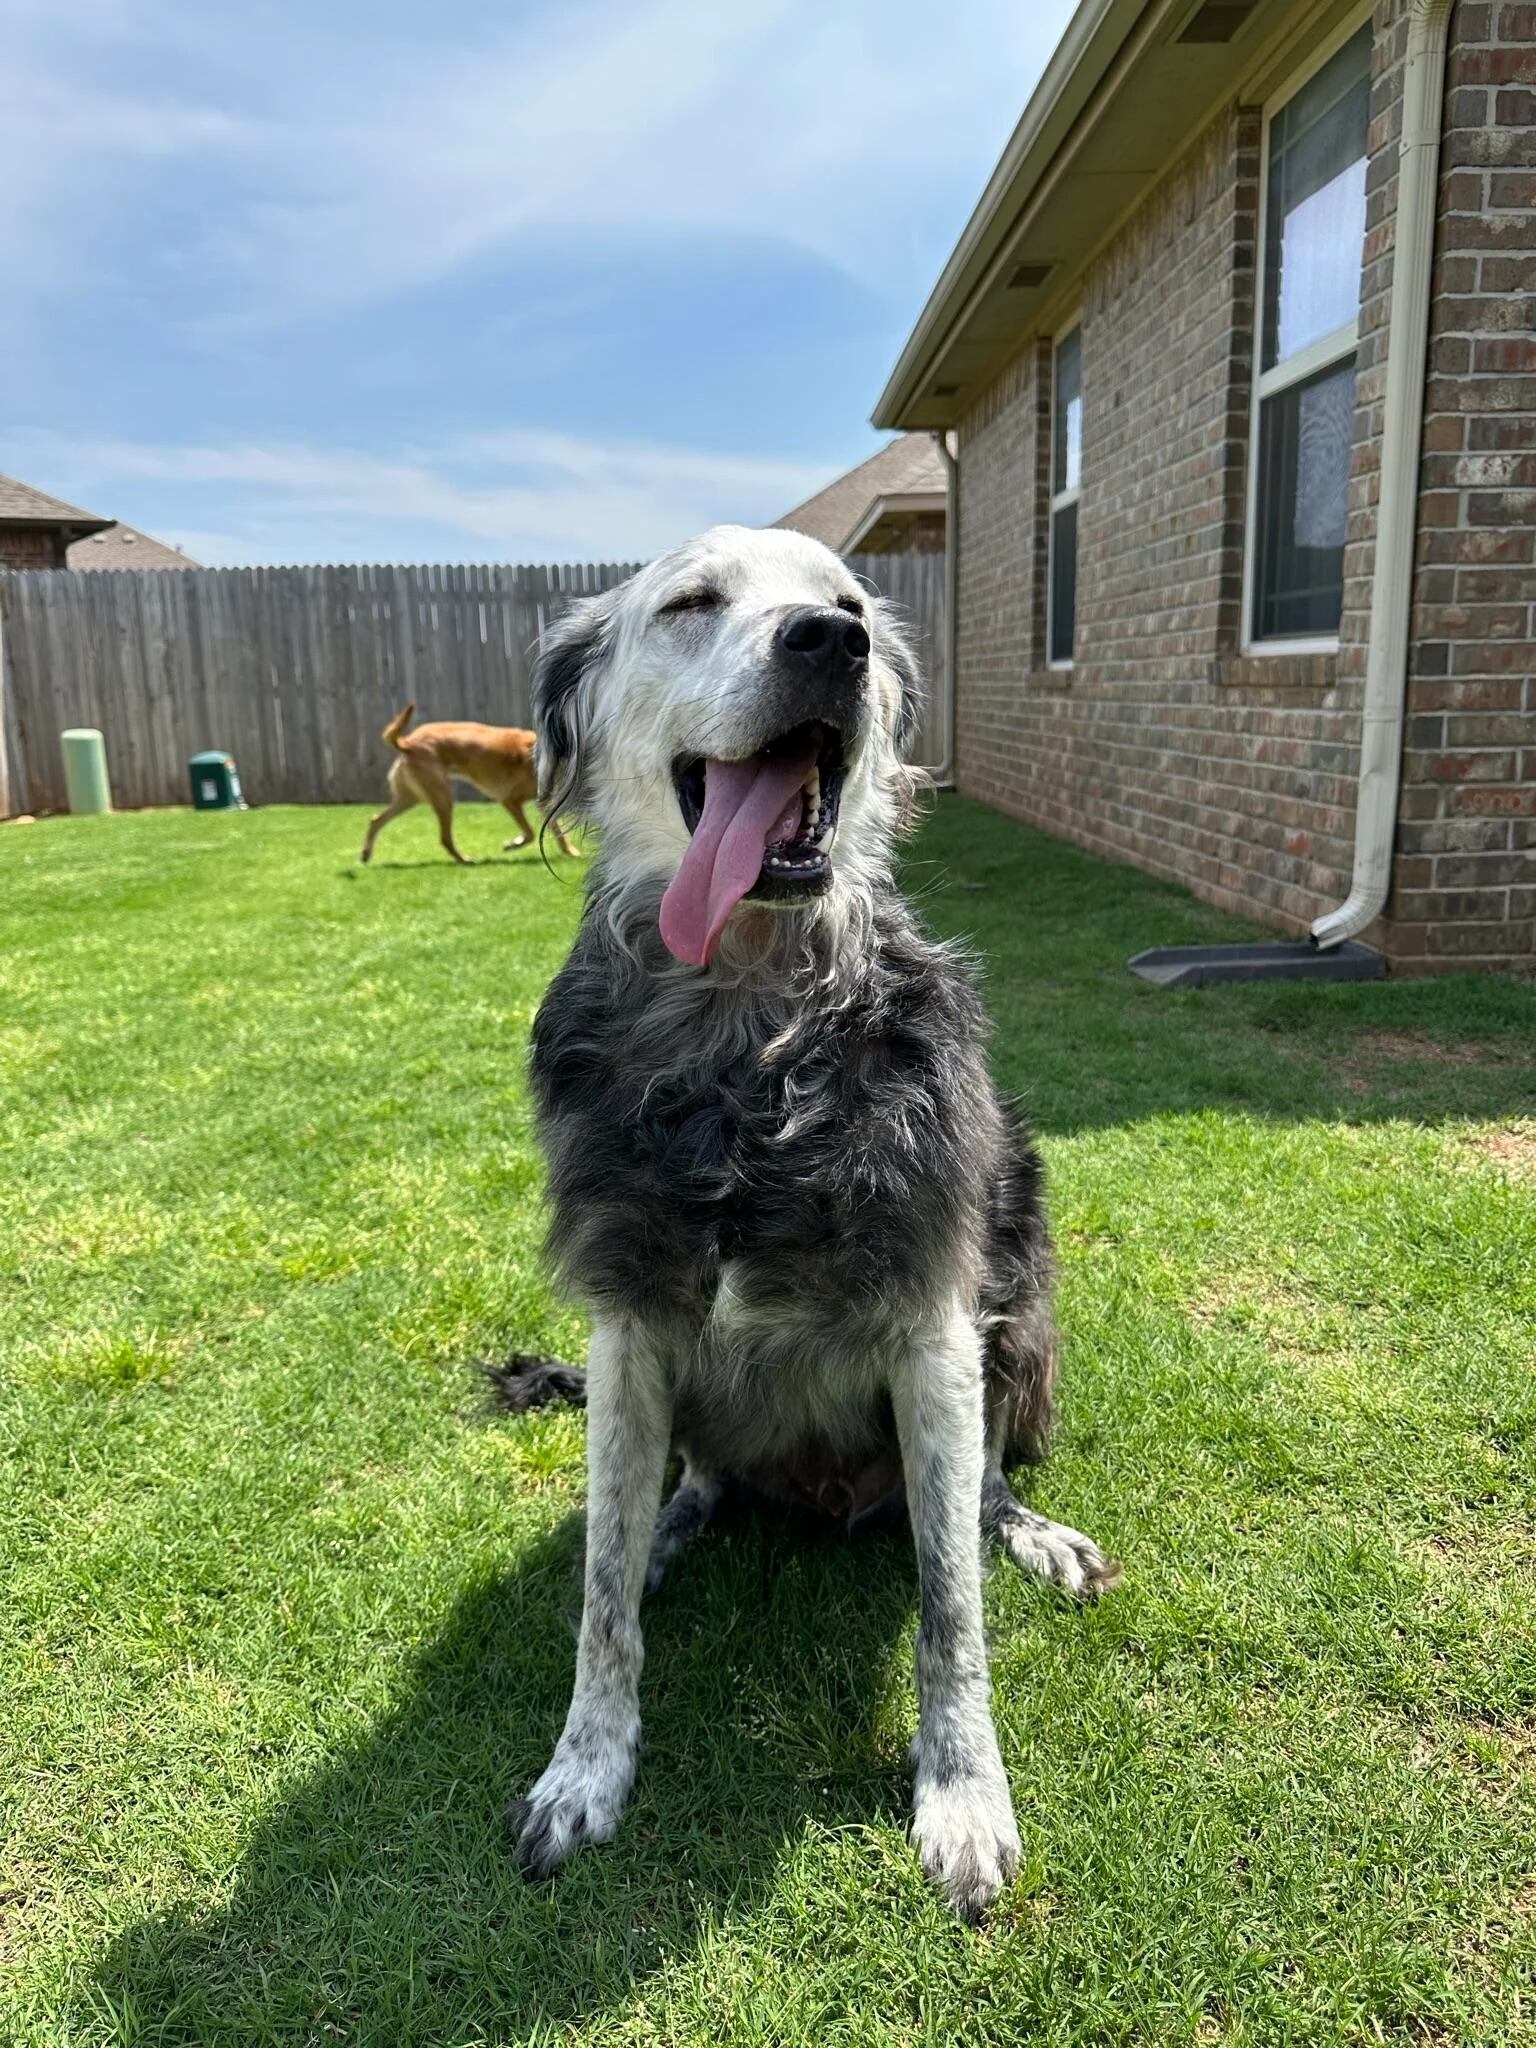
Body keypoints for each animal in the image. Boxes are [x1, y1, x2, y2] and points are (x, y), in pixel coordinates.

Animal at [358, 704, 581, 864]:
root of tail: (407, 743)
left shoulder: (544, 804)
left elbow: (559, 833)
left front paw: (572, 853)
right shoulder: (510, 800)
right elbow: (531, 833)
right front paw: (512, 845)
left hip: (410, 798)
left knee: (375, 820)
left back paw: (366, 853)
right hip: (442, 797)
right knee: (445, 838)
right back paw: (464, 860)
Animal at [507, 524, 1122, 1916]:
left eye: (847, 601)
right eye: (689, 603)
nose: (827, 643)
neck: (754, 1034)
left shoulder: (935, 1326)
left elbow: (949, 1607)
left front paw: (964, 1792)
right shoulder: (629, 1319)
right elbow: (602, 1596)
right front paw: (585, 1766)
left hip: (1020, 1305)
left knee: (981, 1492)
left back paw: (1030, 1531)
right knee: (687, 1484)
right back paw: (675, 1521)